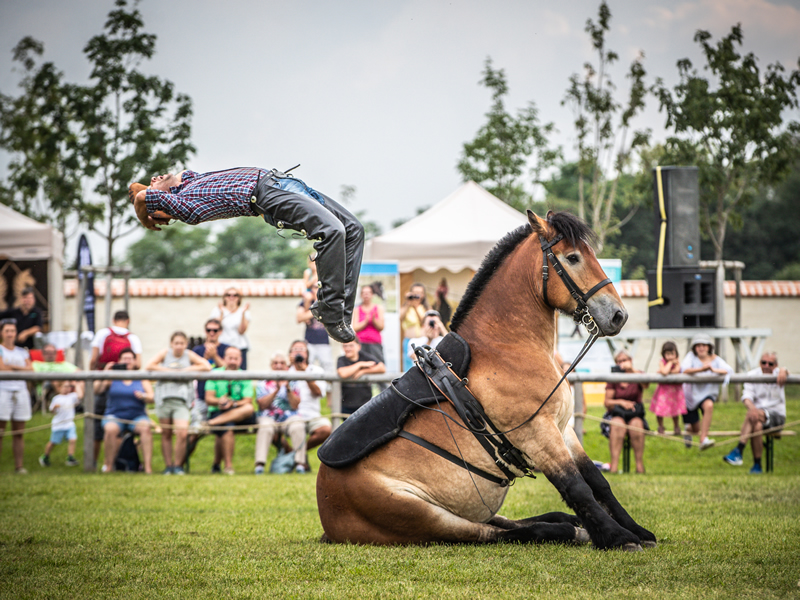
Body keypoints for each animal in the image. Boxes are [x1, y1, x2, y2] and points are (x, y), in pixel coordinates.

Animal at [318, 211, 656, 548]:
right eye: (572, 257)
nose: (618, 315)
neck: (506, 348)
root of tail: (327, 511)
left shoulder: (563, 428)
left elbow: (598, 482)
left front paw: (636, 529)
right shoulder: (539, 434)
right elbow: (577, 487)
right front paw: (617, 536)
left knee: (507, 523)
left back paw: (568, 522)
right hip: (428, 517)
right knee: (501, 533)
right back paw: (571, 529)